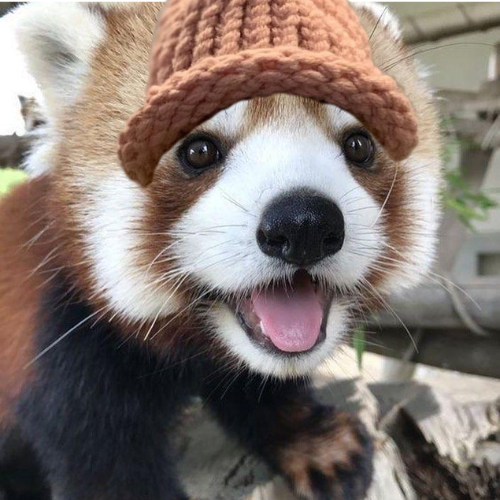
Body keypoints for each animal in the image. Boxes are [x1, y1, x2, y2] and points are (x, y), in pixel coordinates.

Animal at [0, 3, 442, 500]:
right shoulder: (62, 340)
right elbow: (103, 459)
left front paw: (317, 442)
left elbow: (258, 387)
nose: (303, 224)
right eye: (198, 150)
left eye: (359, 144)